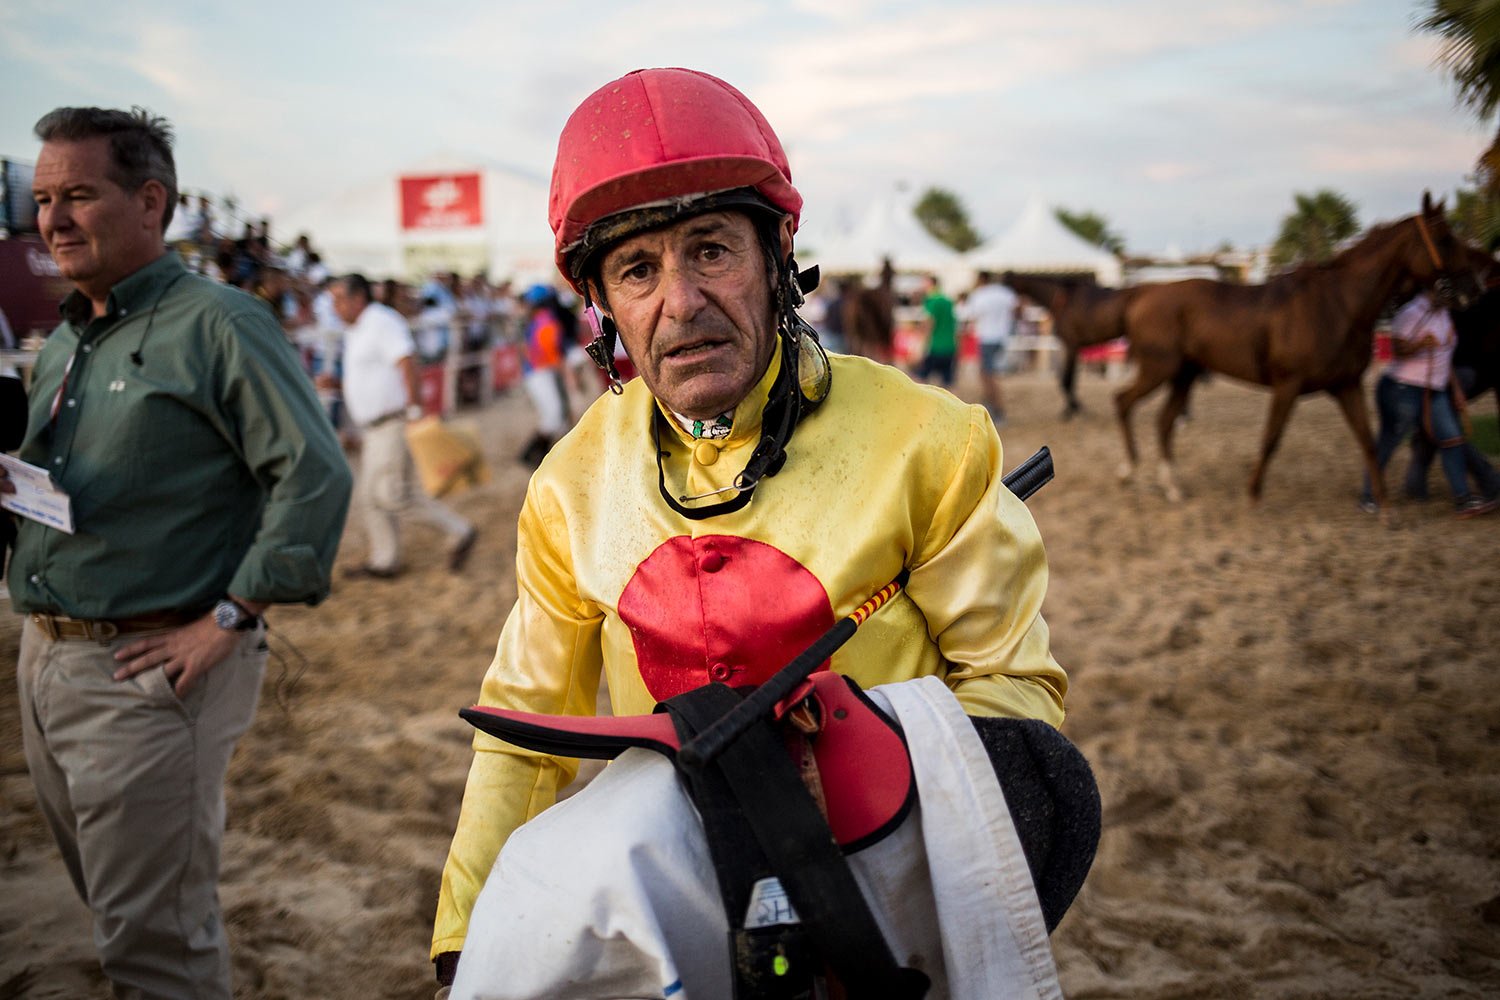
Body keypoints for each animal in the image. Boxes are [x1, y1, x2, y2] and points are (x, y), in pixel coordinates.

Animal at [1002, 269, 1128, 419]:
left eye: (1006, 286)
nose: (1016, 313)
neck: (1063, 299)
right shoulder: (1069, 347)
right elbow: (1068, 379)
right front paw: (1073, 407)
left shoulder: (1071, 345)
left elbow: (1067, 379)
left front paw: (1073, 409)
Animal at [1116, 194, 1488, 503]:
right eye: (1444, 238)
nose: (1472, 288)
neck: (1338, 305)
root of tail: (1141, 293)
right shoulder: (1287, 384)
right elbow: (1271, 438)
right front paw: (1252, 494)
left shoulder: (1346, 385)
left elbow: (1367, 441)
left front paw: (1385, 507)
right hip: (1160, 369)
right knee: (1123, 402)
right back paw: (1129, 471)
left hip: (1185, 374)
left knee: (1163, 421)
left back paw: (1171, 487)